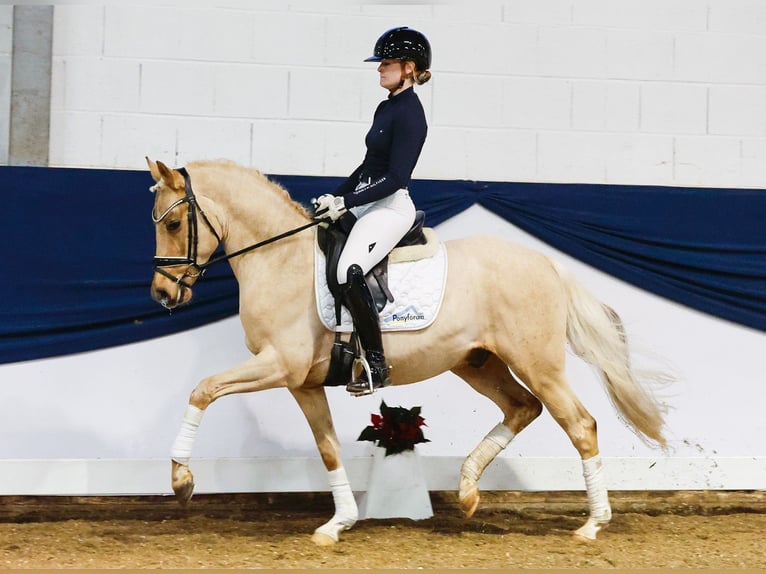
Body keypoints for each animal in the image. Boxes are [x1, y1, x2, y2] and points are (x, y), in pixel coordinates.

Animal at [147, 160, 668, 548]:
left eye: (173, 223)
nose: (161, 294)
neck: (279, 260)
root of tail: (547, 263)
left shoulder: (278, 365)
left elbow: (203, 389)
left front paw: (181, 478)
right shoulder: (303, 382)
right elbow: (328, 447)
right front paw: (338, 523)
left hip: (537, 363)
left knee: (579, 424)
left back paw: (592, 524)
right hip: (477, 363)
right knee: (524, 407)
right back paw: (468, 490)